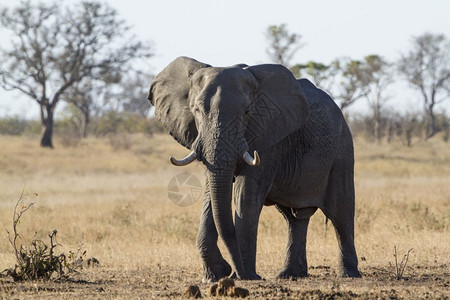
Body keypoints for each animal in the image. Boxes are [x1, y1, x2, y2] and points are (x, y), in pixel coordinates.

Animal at [148, 56, 362, 282]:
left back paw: (349, 274)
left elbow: (245, 195)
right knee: (294, 218)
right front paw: (215, 276)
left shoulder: (268, 137)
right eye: (196, 111)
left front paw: (246, 277)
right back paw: (289, 275)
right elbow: (211, 194)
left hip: (342, 150)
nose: (232, 271)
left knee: (341, 212)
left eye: (246, 112)